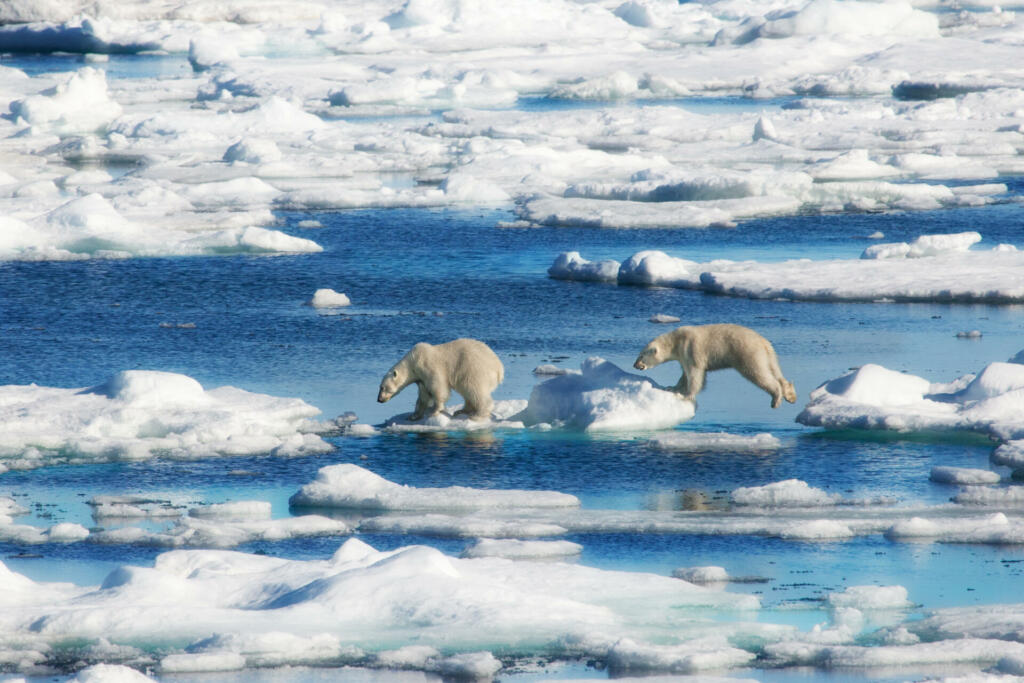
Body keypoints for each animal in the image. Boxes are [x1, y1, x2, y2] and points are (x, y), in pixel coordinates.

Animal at [630, 323, 798, 409]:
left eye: (641, 356)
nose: (635, 364)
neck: (677, 340)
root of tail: (764, 343)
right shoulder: (683, 355)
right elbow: (684, 375)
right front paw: (672, 388)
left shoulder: (691, 349)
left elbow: (695, 374)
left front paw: (687, 395)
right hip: (769, 356)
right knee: (776, 372)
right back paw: (790, 395)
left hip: (747, 353)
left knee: (758, 373)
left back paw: (776, 399)